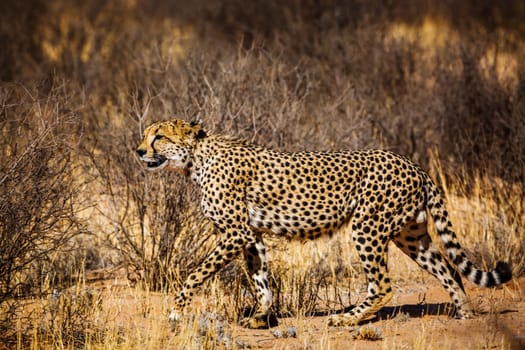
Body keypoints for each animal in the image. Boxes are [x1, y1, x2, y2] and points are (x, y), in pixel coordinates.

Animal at [136, 119, 512, 328]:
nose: (139, 151)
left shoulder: (235, 233)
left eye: (159, 137)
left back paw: (347, 318)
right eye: (145, 136)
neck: (196, 159)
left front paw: (176, 311)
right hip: (410, 235)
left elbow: (195, 274)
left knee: (383, 285)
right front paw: (260, 317)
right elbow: (261, 280)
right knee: (449, 270)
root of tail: (411, 162)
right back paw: (465, 316)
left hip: (366, 227)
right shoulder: (251, 235)